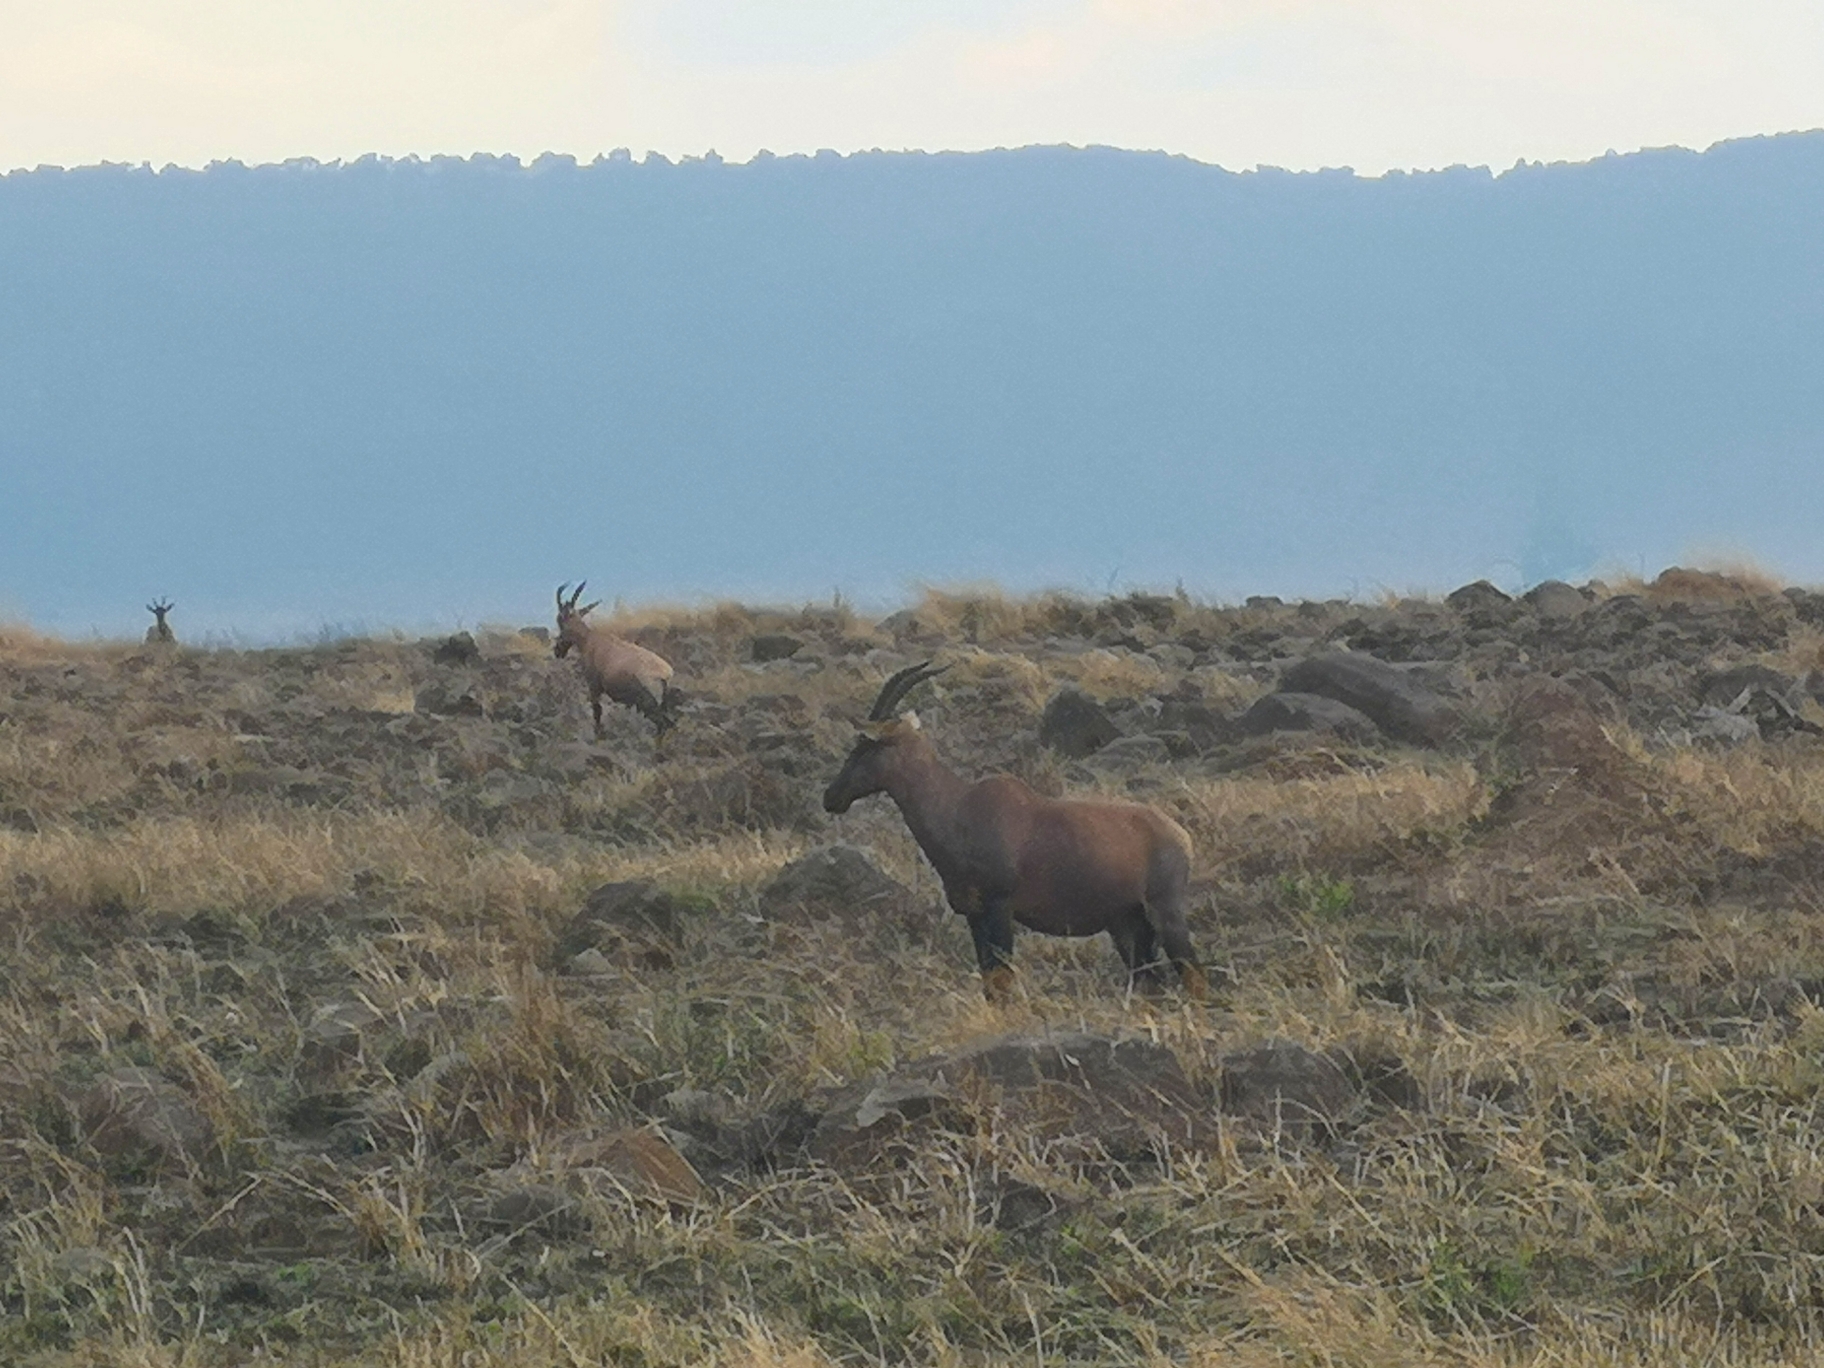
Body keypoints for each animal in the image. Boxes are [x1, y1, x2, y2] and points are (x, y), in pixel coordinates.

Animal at [554, 583, 678, 744]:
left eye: (560, 621)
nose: (557, 650)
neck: (591, 640)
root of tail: (665, 674)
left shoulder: (594, 687)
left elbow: (597, 711)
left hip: (648, 704)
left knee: (663, 724)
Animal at [820, 660, 1203, 999]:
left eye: (867, 744)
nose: (831, 797)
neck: (960, 807)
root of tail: (1180, 835)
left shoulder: (1000, 909)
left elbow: (1002, 978)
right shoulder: (974, 915)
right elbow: (990, 983)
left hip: (1165, 913)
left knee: (1194, 976)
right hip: (1127, 925)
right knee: (1151, 981)